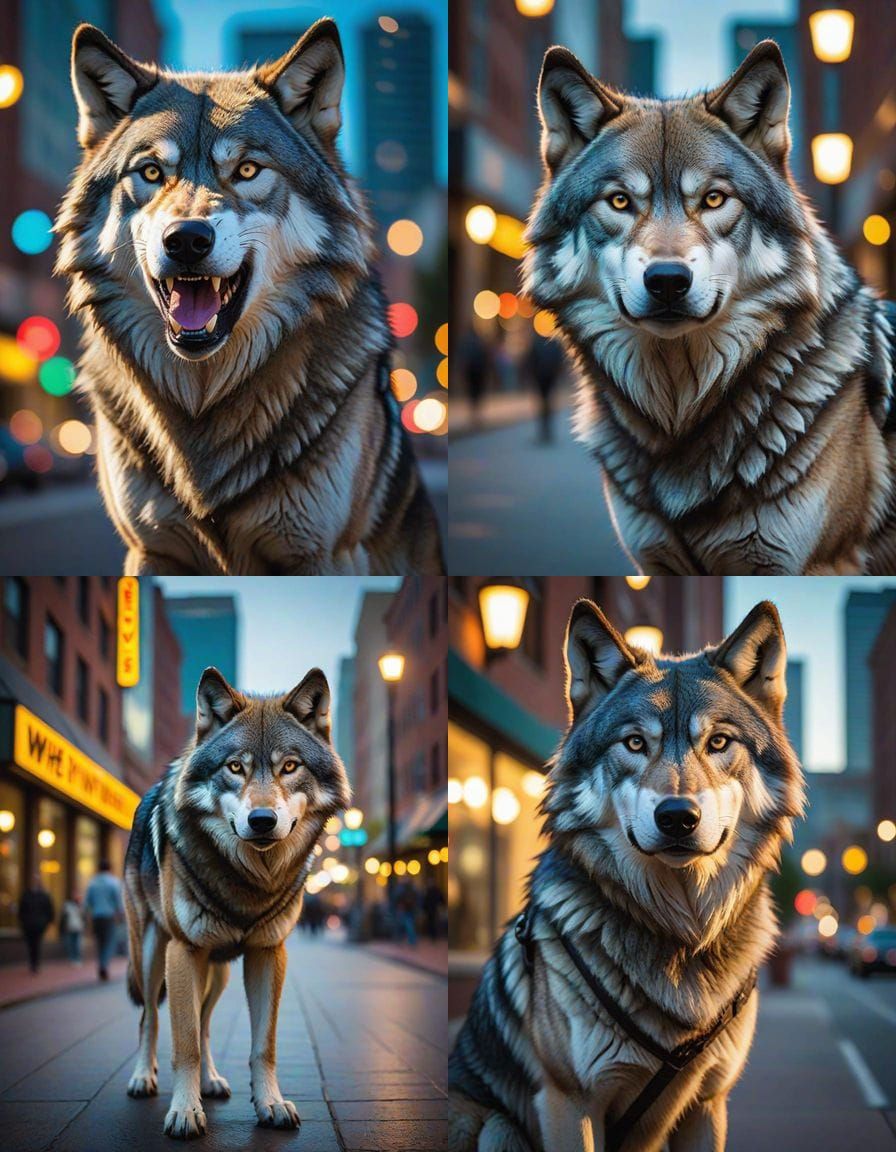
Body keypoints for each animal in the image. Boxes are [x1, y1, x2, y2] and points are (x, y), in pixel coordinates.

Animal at [55, 21, 443, 576]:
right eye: (150, 173)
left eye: (246, 171)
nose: (186, 240)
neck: (205, 401)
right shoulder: (151, 551)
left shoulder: (321, 556)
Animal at [123, 665, 350, 1139]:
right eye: (234, 767)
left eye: (289, 766)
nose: (262, 820)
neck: (249, 881)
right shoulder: (184, 951)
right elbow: (184, 1044)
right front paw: (184, 1112)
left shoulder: (267, 953)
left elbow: (262, 1045)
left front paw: (271, 1104)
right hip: (153, 956)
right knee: (151, 1018)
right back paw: (142, 1078)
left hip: (219, 973)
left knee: (205, 1025)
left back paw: (211, 1081)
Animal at [449, 599, 805, 1152]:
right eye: (635, 743)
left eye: (719, 741)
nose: (678, 817)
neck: (681, 937)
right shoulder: (570, 1101)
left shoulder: (708, 1103)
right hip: (494, 1127)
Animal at [523, 40, 895, 574]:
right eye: (619, 202)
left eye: (714, 199)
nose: (667, 281)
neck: (680, 416)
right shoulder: (655, 563)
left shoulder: (808, 563)